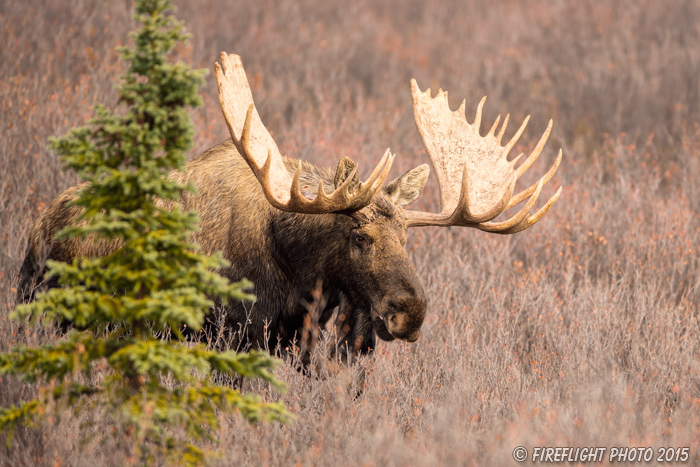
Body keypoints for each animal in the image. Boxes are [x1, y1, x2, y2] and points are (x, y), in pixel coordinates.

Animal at [16, 53, 564, 362]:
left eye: (407, 238)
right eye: (359, 237)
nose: (410, 313)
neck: (296, 276)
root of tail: (39, 226)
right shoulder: (231, 337)